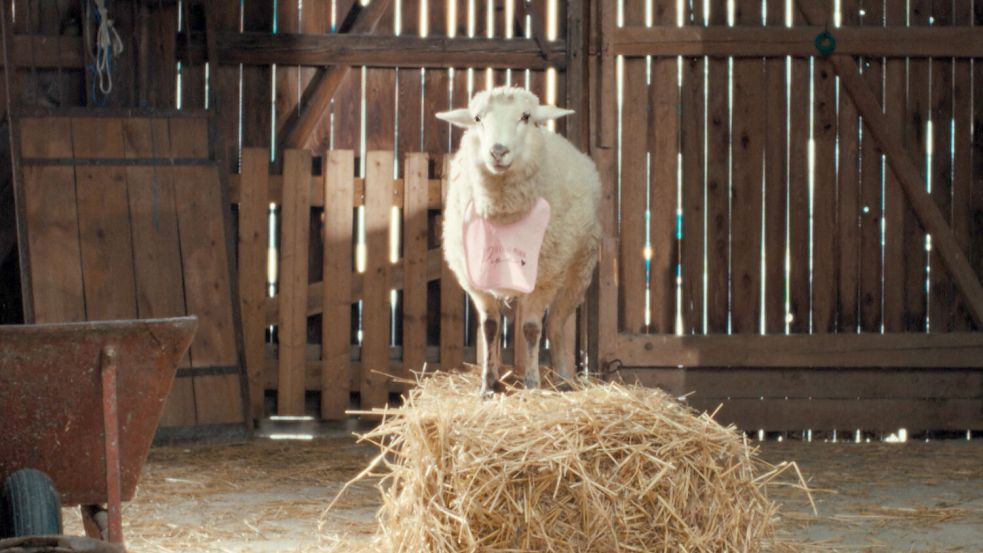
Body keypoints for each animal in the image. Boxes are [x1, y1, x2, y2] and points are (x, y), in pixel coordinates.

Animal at [437, 86, 602, 395]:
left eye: (525, 117)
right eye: (477, 118)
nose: (498, 151)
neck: (502, 213)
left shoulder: (546, 275)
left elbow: (532, 329)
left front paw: (532, 384)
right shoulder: (474, 278)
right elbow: (490, 327)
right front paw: (488, 385)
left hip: (579, 267)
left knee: (556, 324)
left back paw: (563, 378)